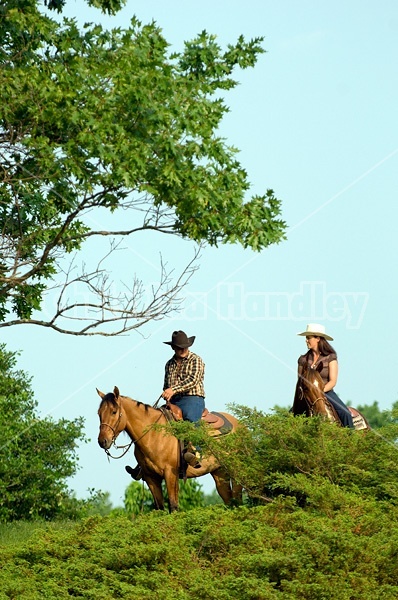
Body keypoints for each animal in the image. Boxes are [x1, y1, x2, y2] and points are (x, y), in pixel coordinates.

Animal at [97, 390, 243, 510]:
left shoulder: (170, 473)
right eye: (99, 413)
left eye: (114, 412)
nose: (102, 441)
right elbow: (160, 508)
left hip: (236, 469)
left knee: (238, 496)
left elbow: (173, 506)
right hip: (219, 471)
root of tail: (239, 425)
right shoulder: (151, 477)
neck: (154, 435)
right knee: (229, 499)